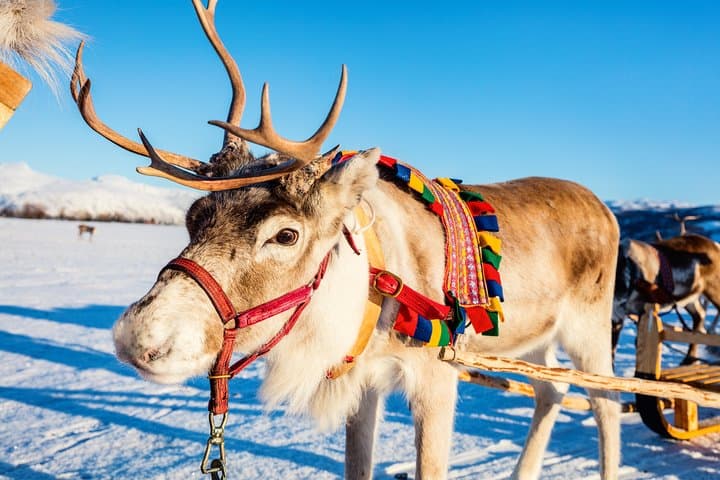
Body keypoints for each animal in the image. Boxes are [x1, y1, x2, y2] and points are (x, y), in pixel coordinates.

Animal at [70, 1, 620, 478]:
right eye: (193, 216)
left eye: (285, 234)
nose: (137, 337)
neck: (368, 286)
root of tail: (606, 209)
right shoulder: (364, 385)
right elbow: (358, 466)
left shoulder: (437, 378)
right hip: (538, 337)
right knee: (551, 392)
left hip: (591, 329)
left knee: (607, 402)